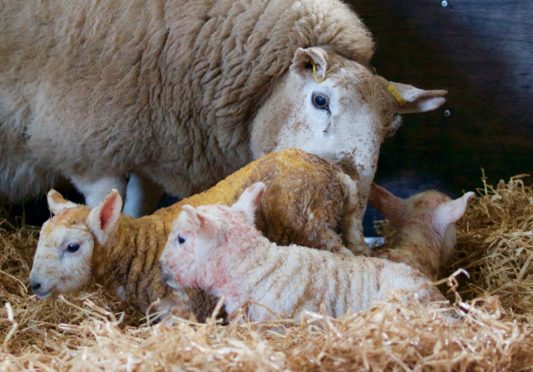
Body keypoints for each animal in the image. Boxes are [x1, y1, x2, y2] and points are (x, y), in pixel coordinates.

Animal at [0, 0, 444, 221]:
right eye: (321, 100)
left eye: (389, 129)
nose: (350, 195)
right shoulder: (83, 139)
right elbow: (102, 200)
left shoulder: (154, 140)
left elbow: (138, 204)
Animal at [30, 149, 366, 320]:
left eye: (73, 246)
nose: (34, 284)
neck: (141, 248)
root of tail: (336, 175)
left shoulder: (180, 310)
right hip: (342, 219)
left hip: (313, 223)